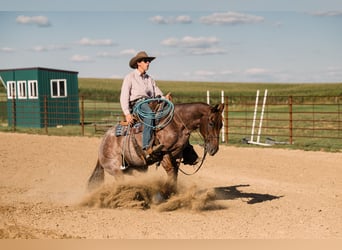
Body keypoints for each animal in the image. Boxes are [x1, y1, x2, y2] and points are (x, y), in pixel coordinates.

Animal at [87, 101, 224, 197]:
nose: (214, 149)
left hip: (137, 168)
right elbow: (171, 173)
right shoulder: (164, 154)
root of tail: (103, 142)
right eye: (211, 123)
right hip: (116, 169)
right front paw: (167, 193)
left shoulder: (177, 155)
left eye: (221, 124)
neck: (176, 124)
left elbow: (175, 174)